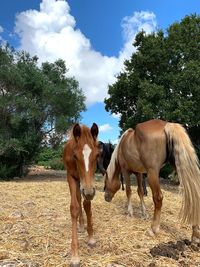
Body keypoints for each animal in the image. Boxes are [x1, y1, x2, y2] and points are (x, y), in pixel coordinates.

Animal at [63, 123, 99, 267]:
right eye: (75, 156)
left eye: (97, 155)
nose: (89, 192)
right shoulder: (71, 178)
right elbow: (74, 207)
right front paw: (75, 255)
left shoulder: (88, 186)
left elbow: (86, 205)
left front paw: (91, 238)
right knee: (78, 198)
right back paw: (80, 224)